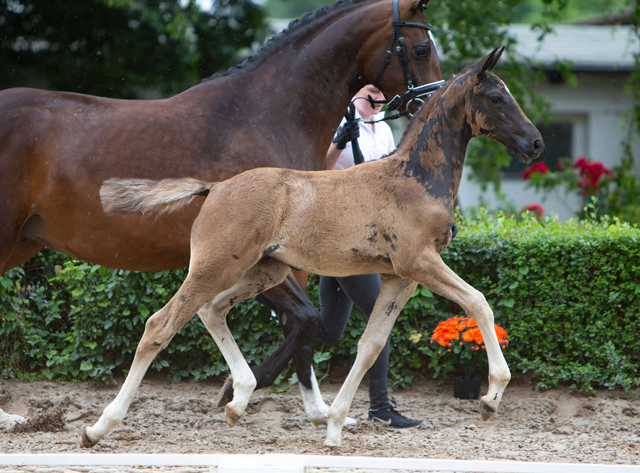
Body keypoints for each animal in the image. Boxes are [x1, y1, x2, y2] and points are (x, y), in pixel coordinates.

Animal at [89, 47, 540, 446]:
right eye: (497, 98)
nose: (535, 143)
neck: (414, 179)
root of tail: (214, 188)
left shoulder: (399, 277)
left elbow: (371, 344)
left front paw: (335, 426)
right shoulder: (420, 262)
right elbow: (478, 302)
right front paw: (492, 396)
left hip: (265, 270)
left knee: (212, 310)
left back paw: (238, 398)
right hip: (218, 266)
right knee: (159, 326)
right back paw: (99, 427)